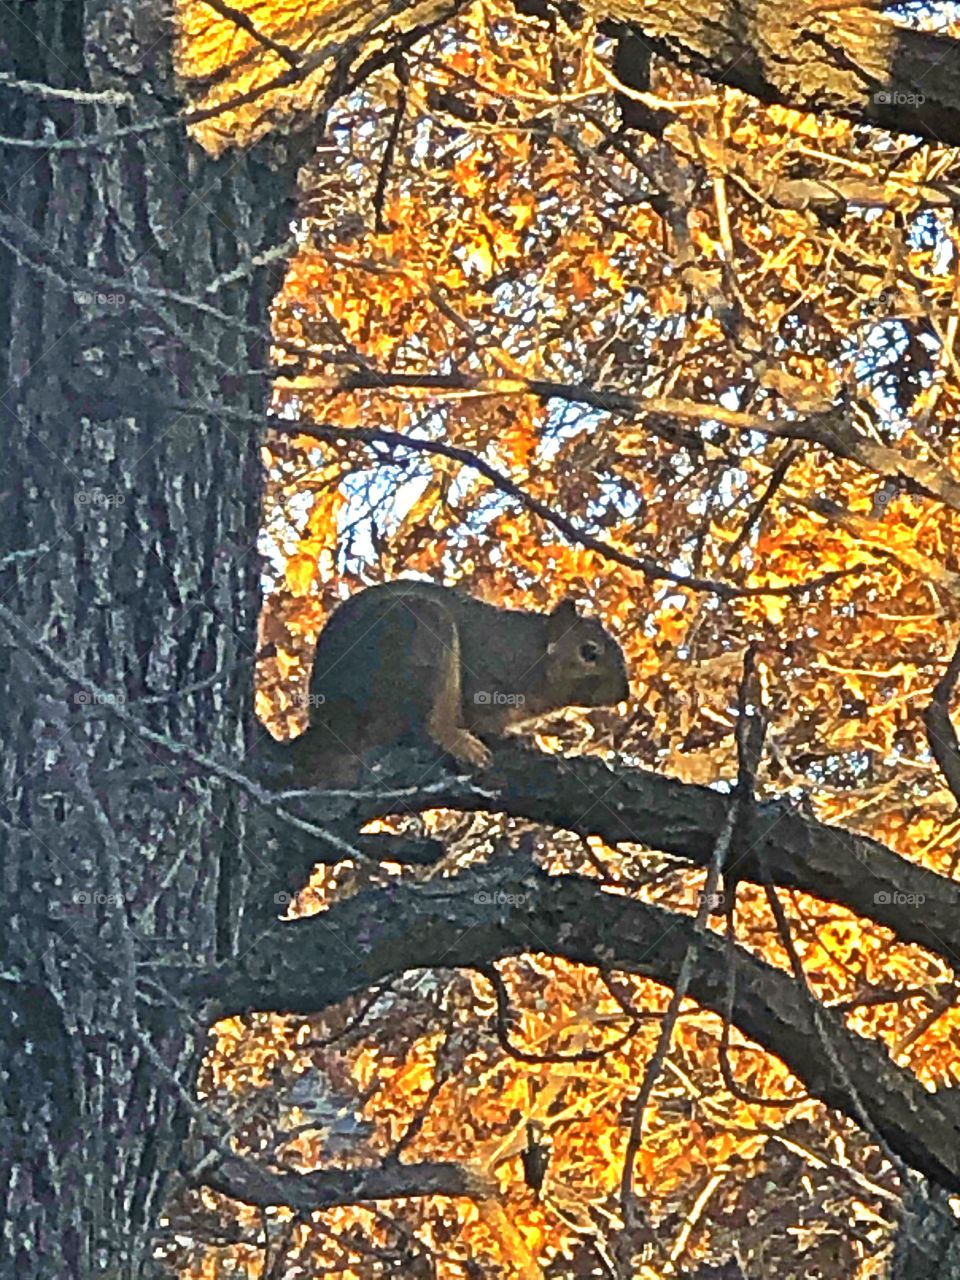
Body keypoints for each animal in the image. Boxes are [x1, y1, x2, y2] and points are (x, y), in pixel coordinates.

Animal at [289, 581, 627, 778]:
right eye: (589, 651)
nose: (624, 693)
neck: (529, 653)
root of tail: (329, 721)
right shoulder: (486, 684)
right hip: (418, 630)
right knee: (426, 726)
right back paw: (462, 744)